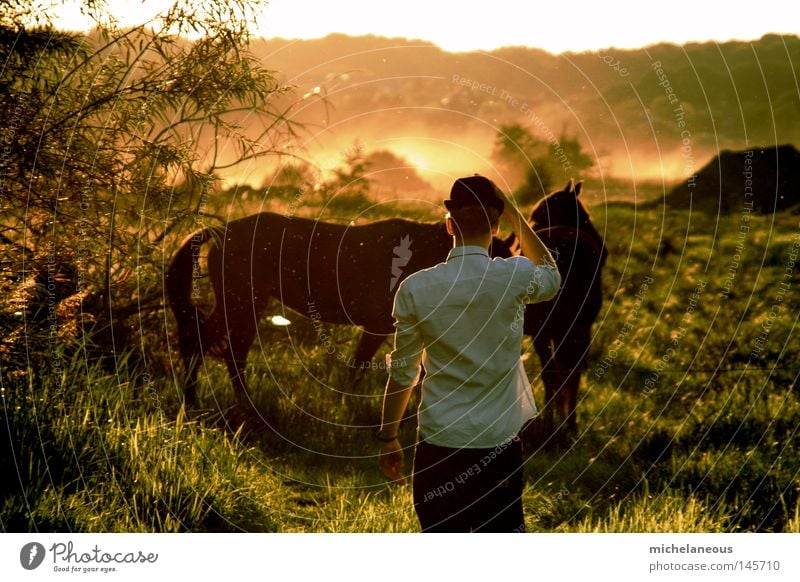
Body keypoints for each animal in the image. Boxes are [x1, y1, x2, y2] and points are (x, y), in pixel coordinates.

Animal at [165, 212, 510, 408]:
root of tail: (221, 230)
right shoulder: (377, 326)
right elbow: (359, 367)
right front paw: (349, 411)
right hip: (238, 303)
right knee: (202, 343)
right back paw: (193, 401)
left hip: (246, 306)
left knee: (231, 352)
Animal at [516, 181, 608, 434]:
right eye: (585, 216)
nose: (605, 250)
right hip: (577, 327)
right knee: (571, 372)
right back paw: (569, 423)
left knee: (557, 372)